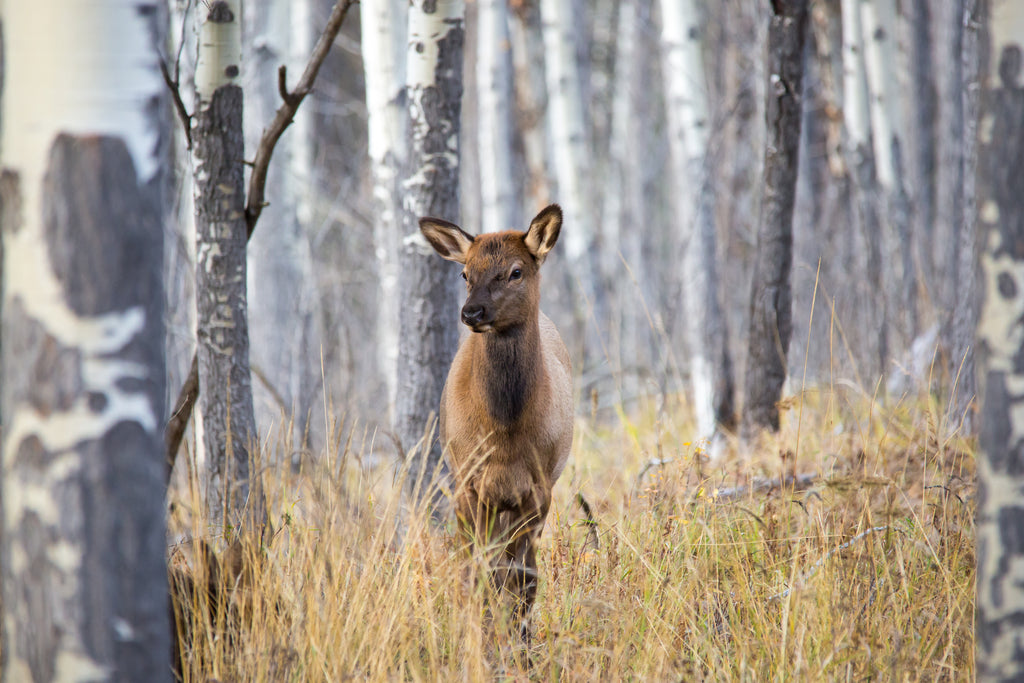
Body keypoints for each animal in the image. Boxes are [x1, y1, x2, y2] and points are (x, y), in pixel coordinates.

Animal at [417, 202, 577, 634]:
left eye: (516, 271)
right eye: (465, 273)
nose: (472, 311)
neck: (503, 432)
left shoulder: (538, 488)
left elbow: (525, 579)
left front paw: (518, 639)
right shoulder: (468, 484)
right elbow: (478, 573)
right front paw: (483, 633)